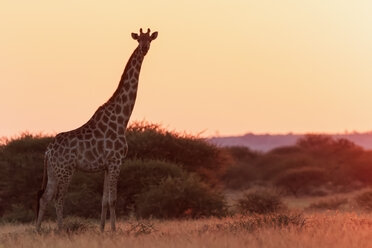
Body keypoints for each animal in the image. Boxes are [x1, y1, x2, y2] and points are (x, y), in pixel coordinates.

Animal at [34, 28, 157, 232]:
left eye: (150, 40)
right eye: (139, 39)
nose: (144, 48)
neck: (122, 119)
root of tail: (47, 152)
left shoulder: (106, 166)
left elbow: (104, 200)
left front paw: (101, 230)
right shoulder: (116, 161)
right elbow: (113, 200)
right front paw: (114, 231)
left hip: (53, 171)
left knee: (45, 197)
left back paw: (37, 231)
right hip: (66, 170)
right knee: (59, 199)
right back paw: (60, 230)